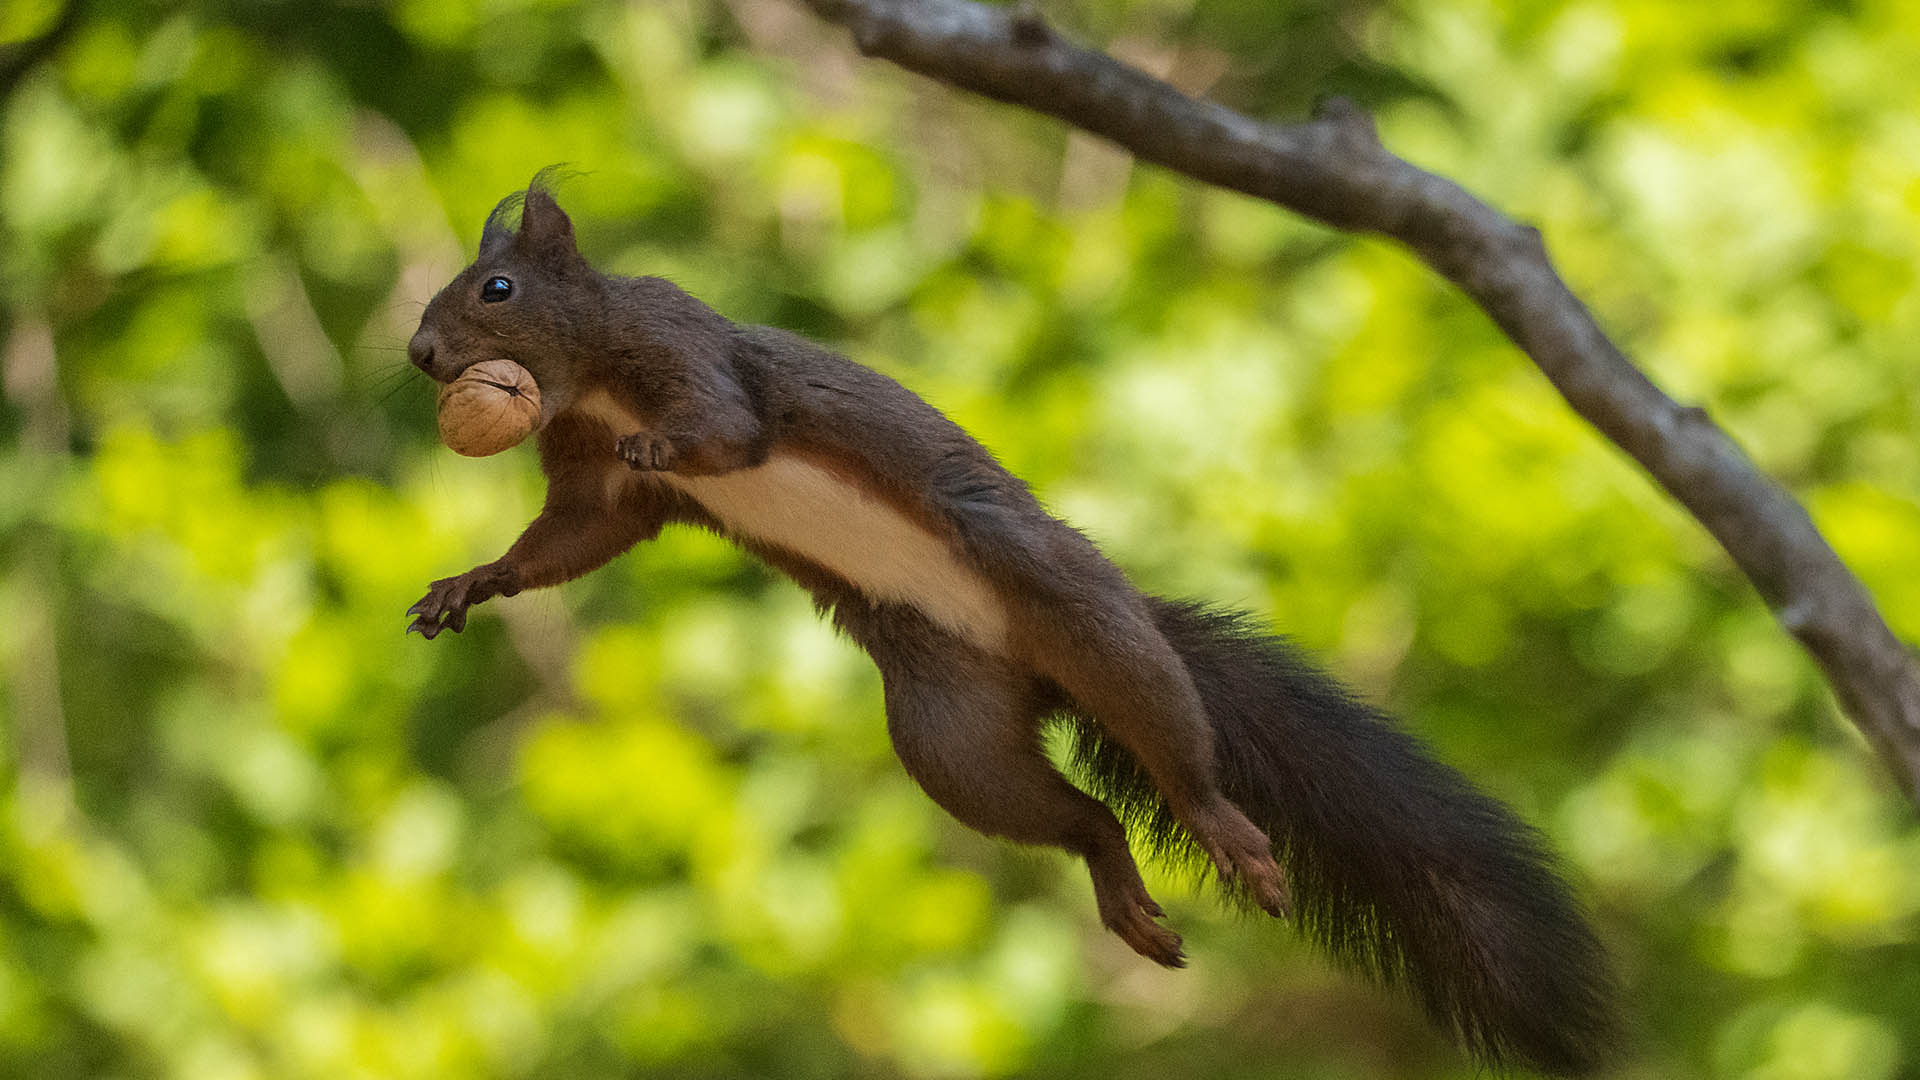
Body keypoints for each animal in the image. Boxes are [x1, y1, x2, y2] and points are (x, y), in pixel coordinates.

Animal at [405, 176, 1620, 1068]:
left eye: (497, 285)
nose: (418, 355)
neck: (590, 378)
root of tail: (1041, 665)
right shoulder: (592, 484)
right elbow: (570, 539)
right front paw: (472, 582)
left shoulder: (685, 352)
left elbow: (725, 430)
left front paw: (662, 440)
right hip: (952, 733)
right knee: (1083, 817)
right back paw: (1120, 885)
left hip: (1076, 612)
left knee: (1174, 746)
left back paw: (1220, 824)